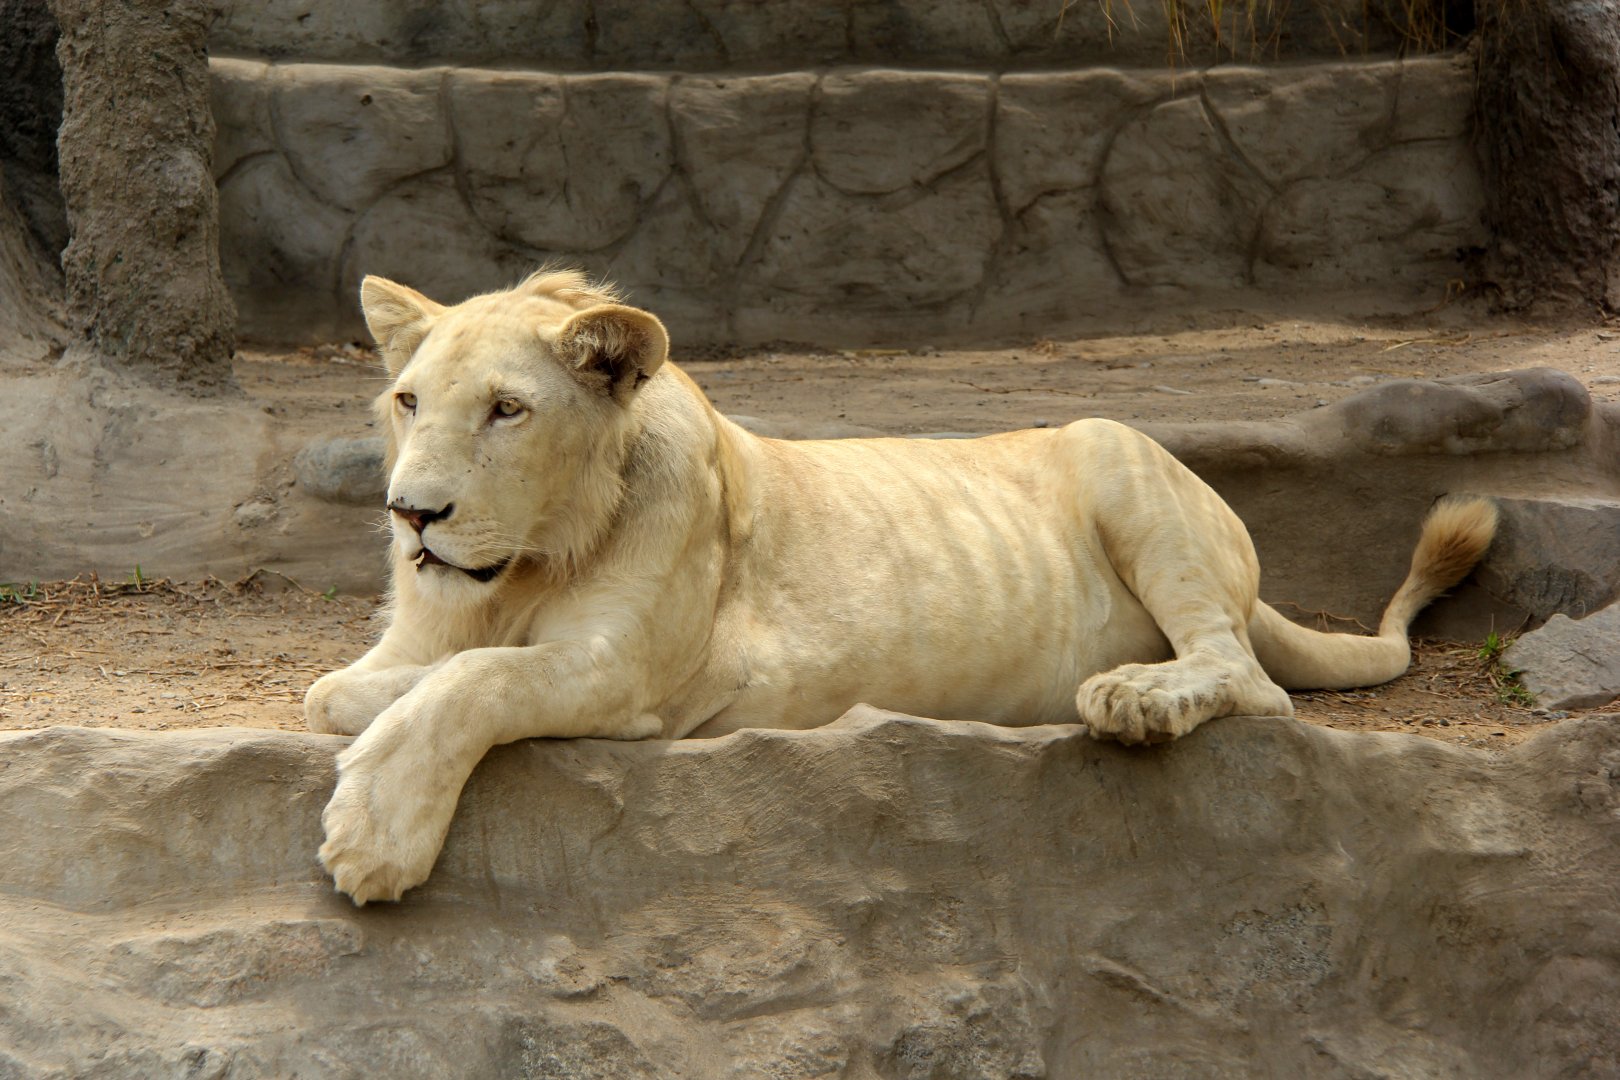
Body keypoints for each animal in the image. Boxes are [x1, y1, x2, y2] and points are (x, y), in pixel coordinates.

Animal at [305, 270, 1498, 905]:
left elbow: (478, 684)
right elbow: (345, 691)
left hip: (1120, 456)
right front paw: (370, 719)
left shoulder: (633, 671)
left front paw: (374, 833)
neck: (522, 565)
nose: (411, 515)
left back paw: (1130, 699)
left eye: (507, 409)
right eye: (408, 401)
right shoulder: (423, 639)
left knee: (1251, 680)